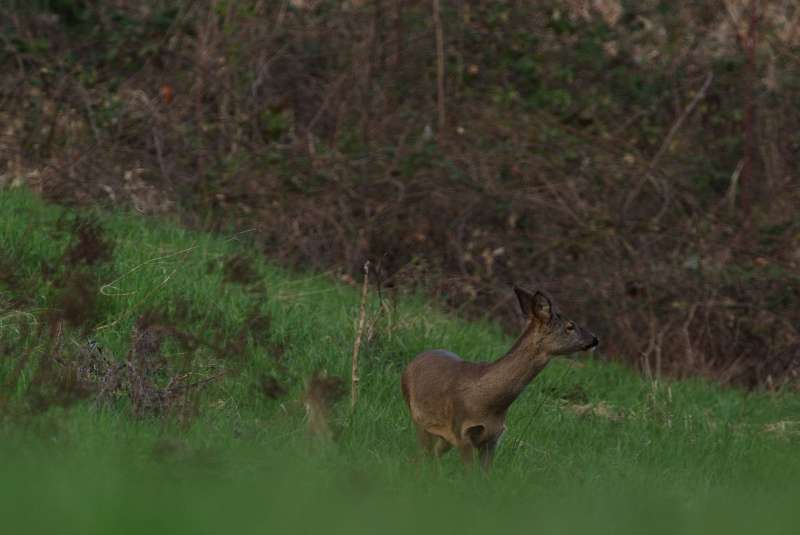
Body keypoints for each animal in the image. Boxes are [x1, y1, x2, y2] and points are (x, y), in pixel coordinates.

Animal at [404, 284, 596, 468]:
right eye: (570, 326)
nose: (595, 339)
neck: (487, 402)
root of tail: (413, 362)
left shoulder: (492, 439)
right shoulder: (462, 432)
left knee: (430, 456)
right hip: (420, 421)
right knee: (421, 456)